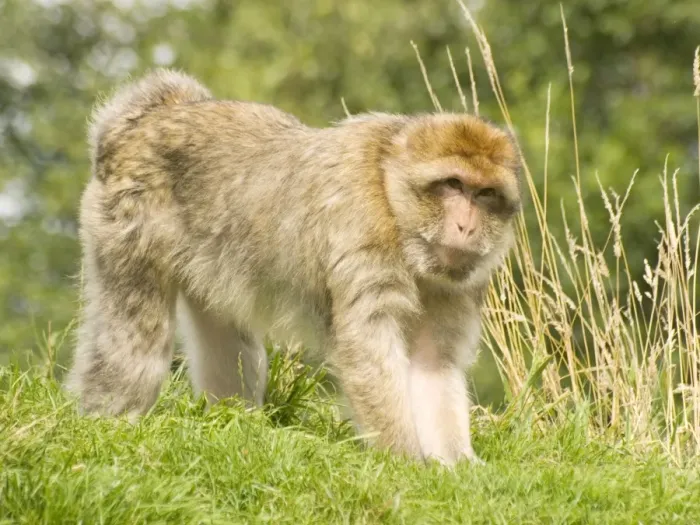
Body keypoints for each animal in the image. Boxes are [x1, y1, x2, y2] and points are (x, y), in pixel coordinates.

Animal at [66, 69, 521, 466]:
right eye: (453, 185)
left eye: (484, 194)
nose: (465, 226)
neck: (394, 203)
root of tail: (145, 119)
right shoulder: (363, 230)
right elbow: (368, 346)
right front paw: (405, 461)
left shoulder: (458, 284)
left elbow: (432, 362)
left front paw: (457, 466)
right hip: (125, 220)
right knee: (135, 342)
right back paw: (107, 419)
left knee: (227, 340)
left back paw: (234, 423)